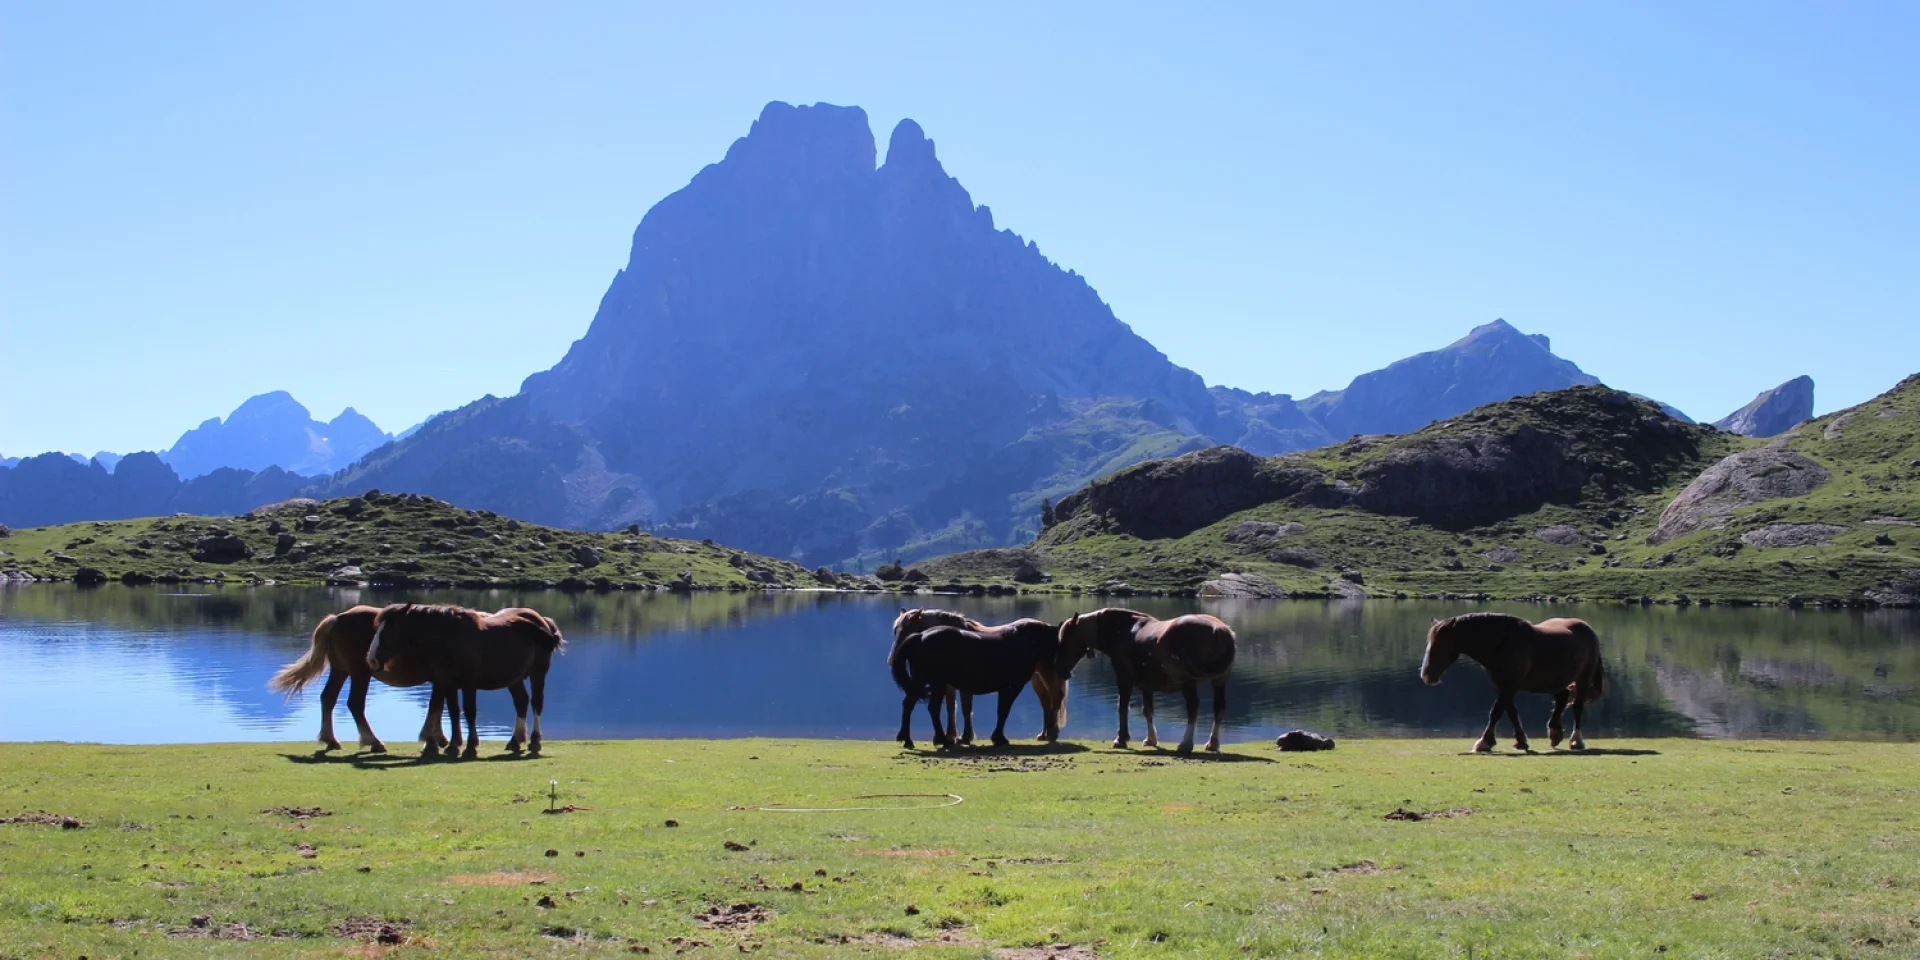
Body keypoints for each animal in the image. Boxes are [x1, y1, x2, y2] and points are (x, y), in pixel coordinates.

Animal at [268, 604, 448, 753]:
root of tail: (337, 619)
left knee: (328, 698)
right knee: (355, 703)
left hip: (339, 671)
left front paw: (437, 739)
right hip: (360, 673)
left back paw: (331, 740)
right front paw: (432, 740)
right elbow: (436, 706)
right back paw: (373, 741)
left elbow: (438, 706)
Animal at [367, 604, 565, 759]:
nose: (371, 660)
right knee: (521, 702)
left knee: (536, 703)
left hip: (538, 673)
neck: (450, 639)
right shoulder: (448, 683)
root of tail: (542, 620)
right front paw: (454, 746)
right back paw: (515, 742)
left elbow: (470, 712)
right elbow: (454, 712)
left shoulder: (469, 684)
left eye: (391, 629)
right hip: (514, 679)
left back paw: (535, 741)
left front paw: (470, 747)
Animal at [890, 608, 1069, 744]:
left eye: (905, 629)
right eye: (895, 631)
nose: (891, 659)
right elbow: (964, 708)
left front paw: (964, 737)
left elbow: (967, 708)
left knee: (1051, 699)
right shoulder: (1008, 686)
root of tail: (920, 638)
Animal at [1055, 608, 1236, 754]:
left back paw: (1185, 744)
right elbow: (1147, 710)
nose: (1060, 669)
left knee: (1193, 709)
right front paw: (1150, 739)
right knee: (1219, 709)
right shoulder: (1146, 685)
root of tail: (1218, 629)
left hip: (1189, 684)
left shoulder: (1124, 679)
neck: (1123, 631)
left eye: (1067, 639)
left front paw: (1121, 739)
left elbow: (1122, 707)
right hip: (1219, 682)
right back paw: (1212, 743)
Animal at [1419, 612, 1606, 752]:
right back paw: (1555, 733)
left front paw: (1484, 742)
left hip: (1583, 679)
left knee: (1577, 707)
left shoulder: (1510, 685)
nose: (1426, 675)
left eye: (1440, 645)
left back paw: (1576, 741)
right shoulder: (1502, 686)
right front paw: (1520, 741)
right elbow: (1511, 712)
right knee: (1562, 698)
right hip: (1555, 680)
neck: (1503, 642)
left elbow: (1496, 712)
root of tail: (1587, 629)